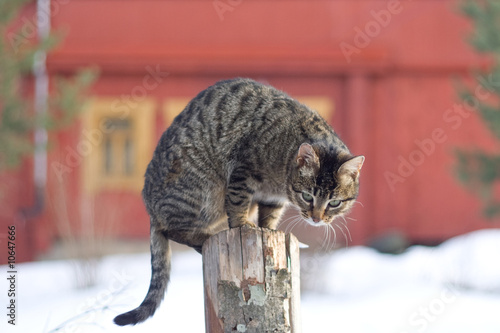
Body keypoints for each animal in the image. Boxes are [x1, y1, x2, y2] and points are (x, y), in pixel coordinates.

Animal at [113, 78, 364, 324]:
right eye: (307, 196)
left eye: (334, 203)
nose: (316, 218)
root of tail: (150, 207)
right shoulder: (243, 169)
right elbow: (237, 204)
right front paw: (243, 224)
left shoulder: (271, 198)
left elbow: (269, 218)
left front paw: (268, 229)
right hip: (204, 191)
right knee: (172, 229)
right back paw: (204, 237)